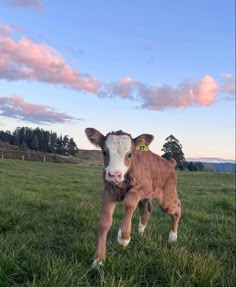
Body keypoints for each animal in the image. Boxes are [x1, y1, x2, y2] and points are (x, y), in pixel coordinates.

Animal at [85, 128, 181, 268]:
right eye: (104, 152)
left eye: (130, 154)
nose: (114, 175)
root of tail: (170, 163)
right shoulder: (108, 191)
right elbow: (104, 223)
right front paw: (98, 260)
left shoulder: (146, 186)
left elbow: (130, 201)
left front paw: (123, 238)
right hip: (145, 199)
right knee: (146, 211)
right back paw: (141, 233)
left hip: (167, 198)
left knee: (177, 208)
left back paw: (173, 237)